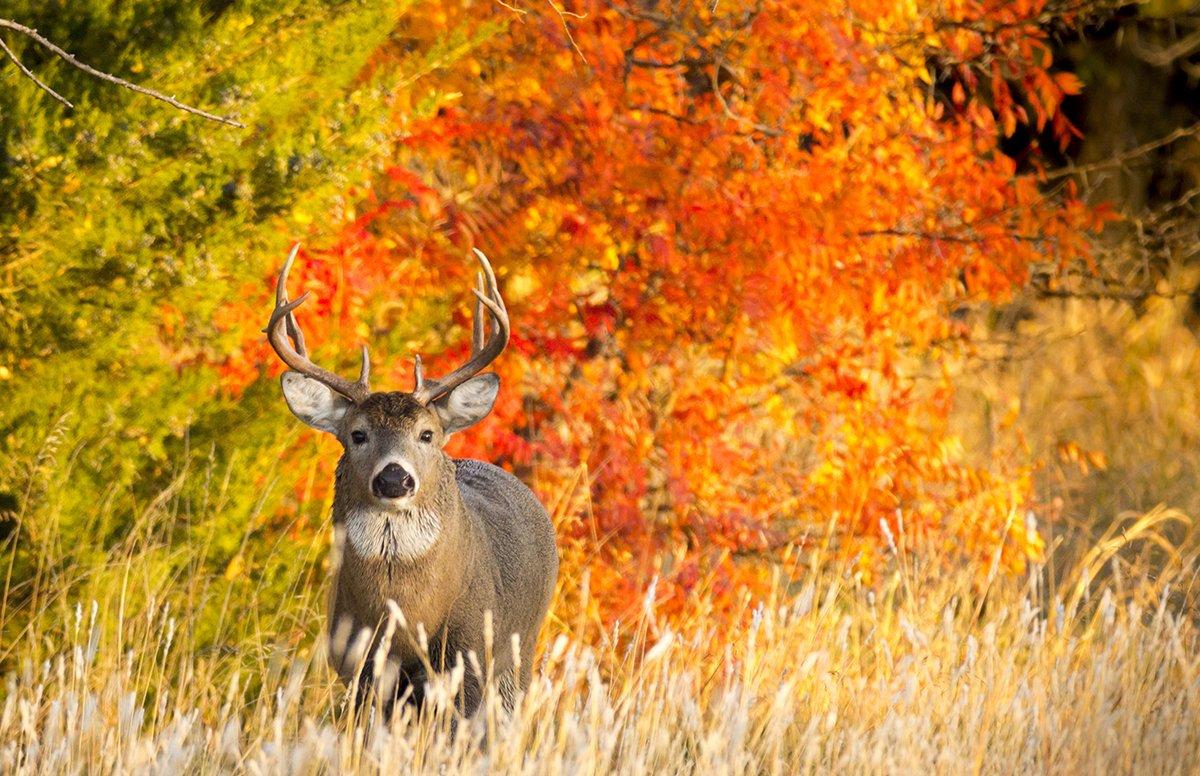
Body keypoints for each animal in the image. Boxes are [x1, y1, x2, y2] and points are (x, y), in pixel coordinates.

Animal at [267, 245, 556, 714]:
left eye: (427, 434)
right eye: (357, 434)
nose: (394, 478)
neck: (405, 618)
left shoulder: (470, 658)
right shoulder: (359, 666)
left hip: (520, 651)